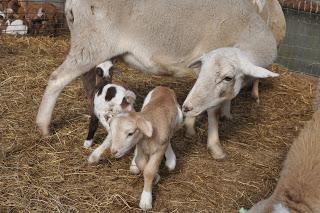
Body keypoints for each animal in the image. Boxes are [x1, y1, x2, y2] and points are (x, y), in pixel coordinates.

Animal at [37, 0, 284, 158]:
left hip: (91, 47)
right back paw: (43, 126)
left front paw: (203, 120)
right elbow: (211, 110)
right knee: (57, 78)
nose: (187, 108)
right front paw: (215, 145)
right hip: (91, 42)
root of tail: (71, 3)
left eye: (227, 77)